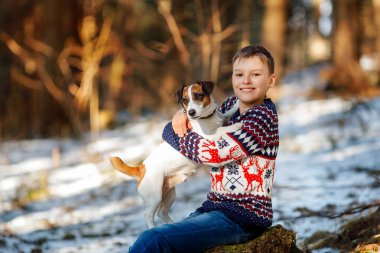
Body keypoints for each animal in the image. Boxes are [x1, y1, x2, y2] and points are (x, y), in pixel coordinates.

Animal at [110, 81, 240, 227]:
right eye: (185, 100)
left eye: (198, 95)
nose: (190, 112)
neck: (207, 117)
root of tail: (140, 168)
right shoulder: (208, 137)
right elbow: (222, 129)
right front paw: (237, 125)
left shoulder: (220, 119)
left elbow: (226, 114)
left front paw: (236, 105)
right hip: (154, 195)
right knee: (148, 214)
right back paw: (152, 227)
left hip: (169, 194)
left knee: (162, 212)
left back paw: (171, 223)